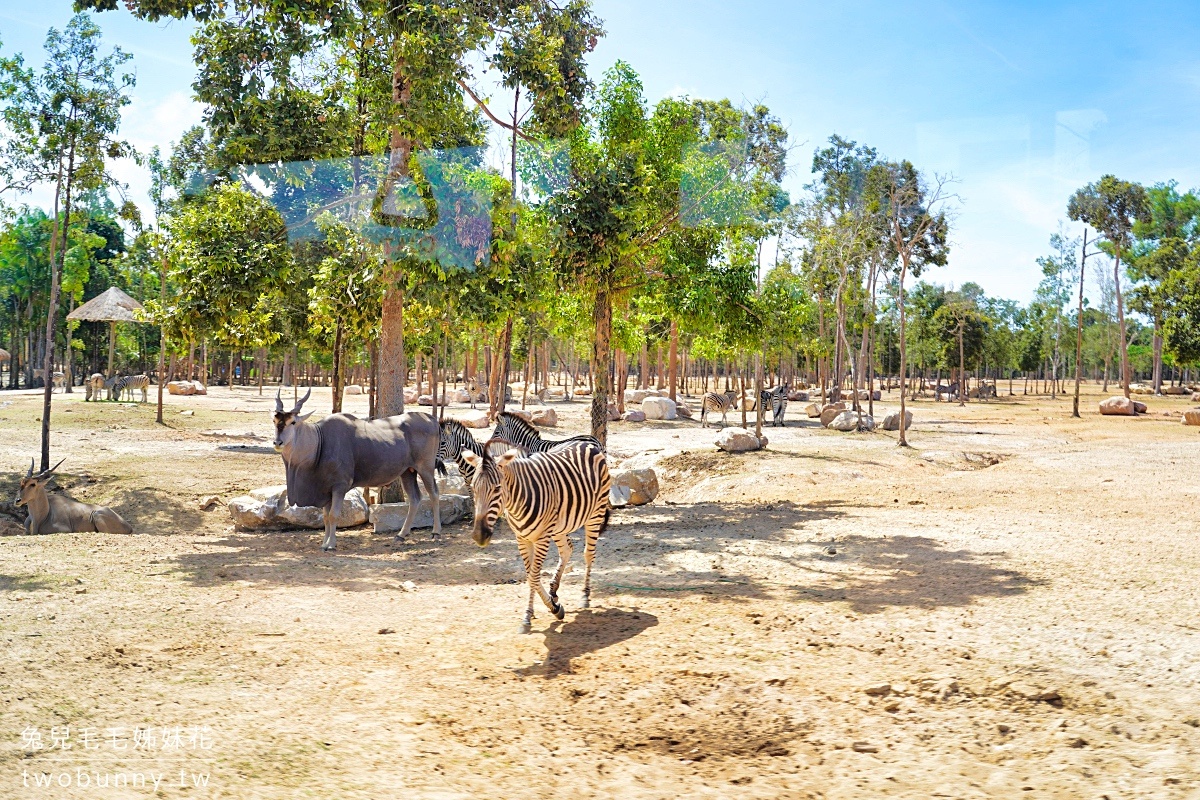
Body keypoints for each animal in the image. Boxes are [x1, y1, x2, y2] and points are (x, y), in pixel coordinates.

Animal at [274, 388, 444, 551]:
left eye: (293, 422)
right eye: (275, 420)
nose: (277, 442)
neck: (320, 441)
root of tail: (433, 420)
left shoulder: (339, 486)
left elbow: (333, 515)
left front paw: (331, 544)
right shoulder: (327, 490)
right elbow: (326, 517)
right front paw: (324, 543)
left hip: (425, 468)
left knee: (434, 494)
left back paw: (436, 533)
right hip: (407, 472)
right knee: (415, 498)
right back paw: (401, 535)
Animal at [458, 438, 609, 633]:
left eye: (497, 488)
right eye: (473, 489)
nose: (479, 535)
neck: (516, 502)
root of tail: (586, 443)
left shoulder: (542, 538)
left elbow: (534, 577)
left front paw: (530, 616)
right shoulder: (521, 539)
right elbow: (531, 576)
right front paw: (553, 607)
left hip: (595, 513)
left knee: (589, 554)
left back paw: (585, 595)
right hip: (560, 525)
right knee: (567, 549)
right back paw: (554, 591)